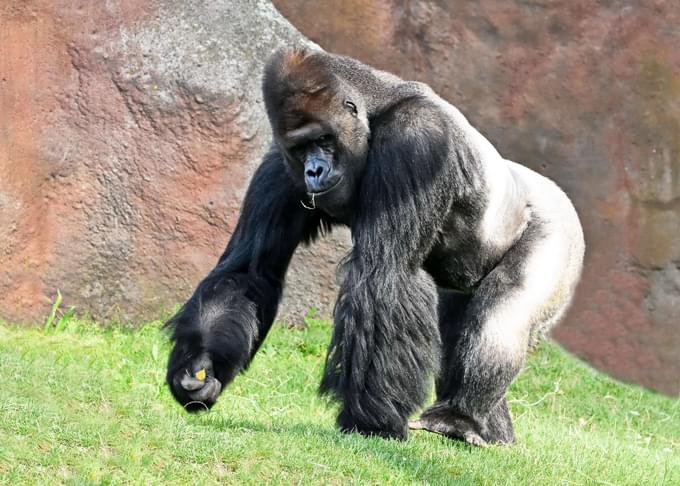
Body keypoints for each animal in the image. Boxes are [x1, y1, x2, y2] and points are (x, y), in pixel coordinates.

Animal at [166, 47, 584, 446]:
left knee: (504, 308)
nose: (313, 171)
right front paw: (200, 366)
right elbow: (250, 271)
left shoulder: (416, 139)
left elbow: (384, 276)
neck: (375, 109)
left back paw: (458, 418)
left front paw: (371, 420)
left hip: (559, 229)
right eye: (301, 149)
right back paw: (491, 431)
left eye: (323, 140)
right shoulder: (279, 164)